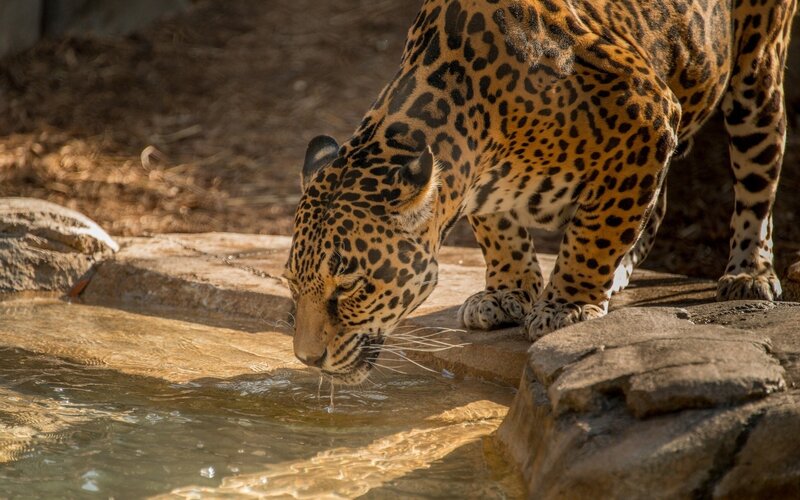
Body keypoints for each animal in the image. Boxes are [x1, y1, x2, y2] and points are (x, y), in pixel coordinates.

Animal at [283, 0, 797, 384]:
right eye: (291, 283)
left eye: (350, 286)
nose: (307, 359)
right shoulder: (479, 180)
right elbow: (499, 228)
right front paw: (507, 292)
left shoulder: (647, 114)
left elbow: (598, 229)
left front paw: (567, 305)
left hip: (757, 75)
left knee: (757, 178)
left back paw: (749, 272)